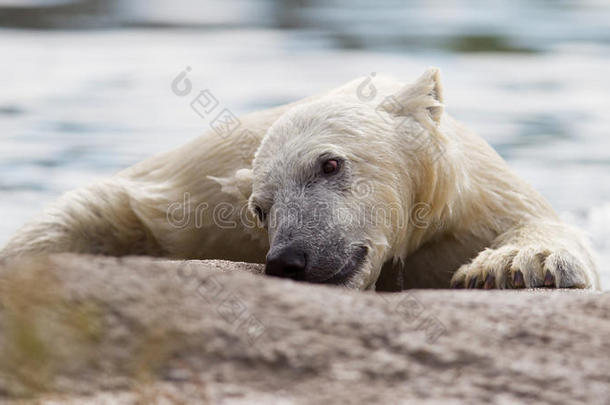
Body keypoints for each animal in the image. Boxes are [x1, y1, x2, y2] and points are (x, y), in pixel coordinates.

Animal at [0, 68, 600, 290]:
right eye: (259, 207)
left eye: (329, 163)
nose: (291, 259)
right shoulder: (190, 204)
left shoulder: (476, 202)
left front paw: (517, 267)